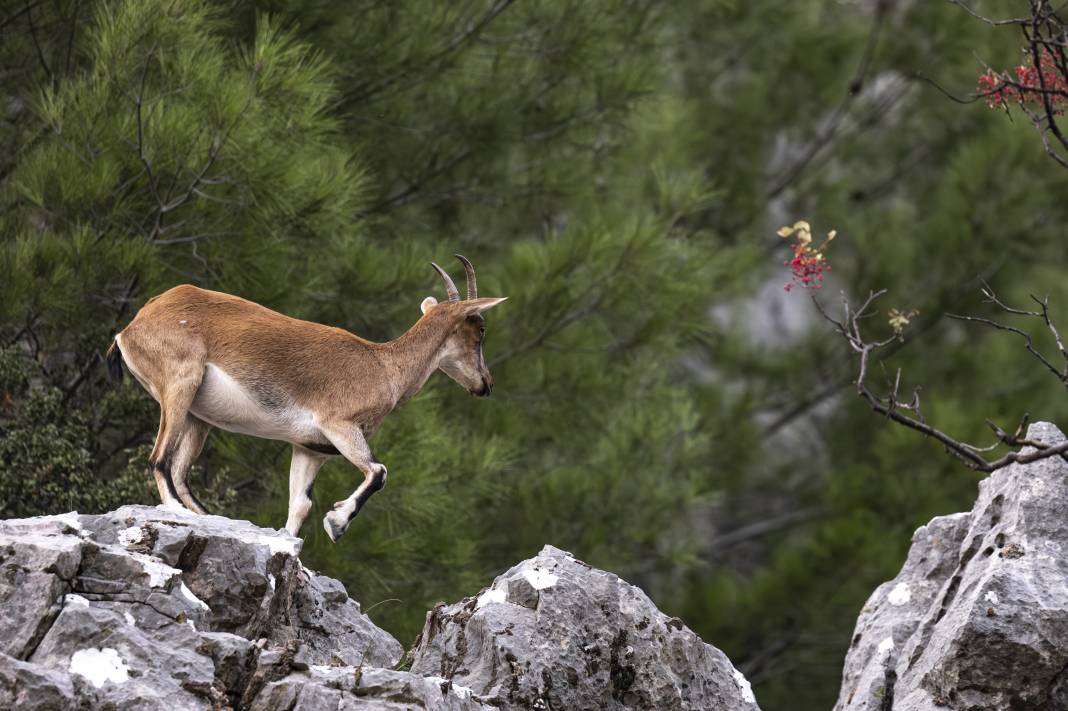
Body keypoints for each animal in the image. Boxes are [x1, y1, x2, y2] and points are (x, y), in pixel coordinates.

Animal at [106, 257, 506, 540]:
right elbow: (378, 471)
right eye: (480, 329)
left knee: (178, 469)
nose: (485, 384)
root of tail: (131, 328)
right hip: (180, 384)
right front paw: (337, 523)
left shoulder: (310, 449)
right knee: (159, 459)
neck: (383, 366)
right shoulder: (339, 426)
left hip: (197, 417)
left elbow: (299, 506)